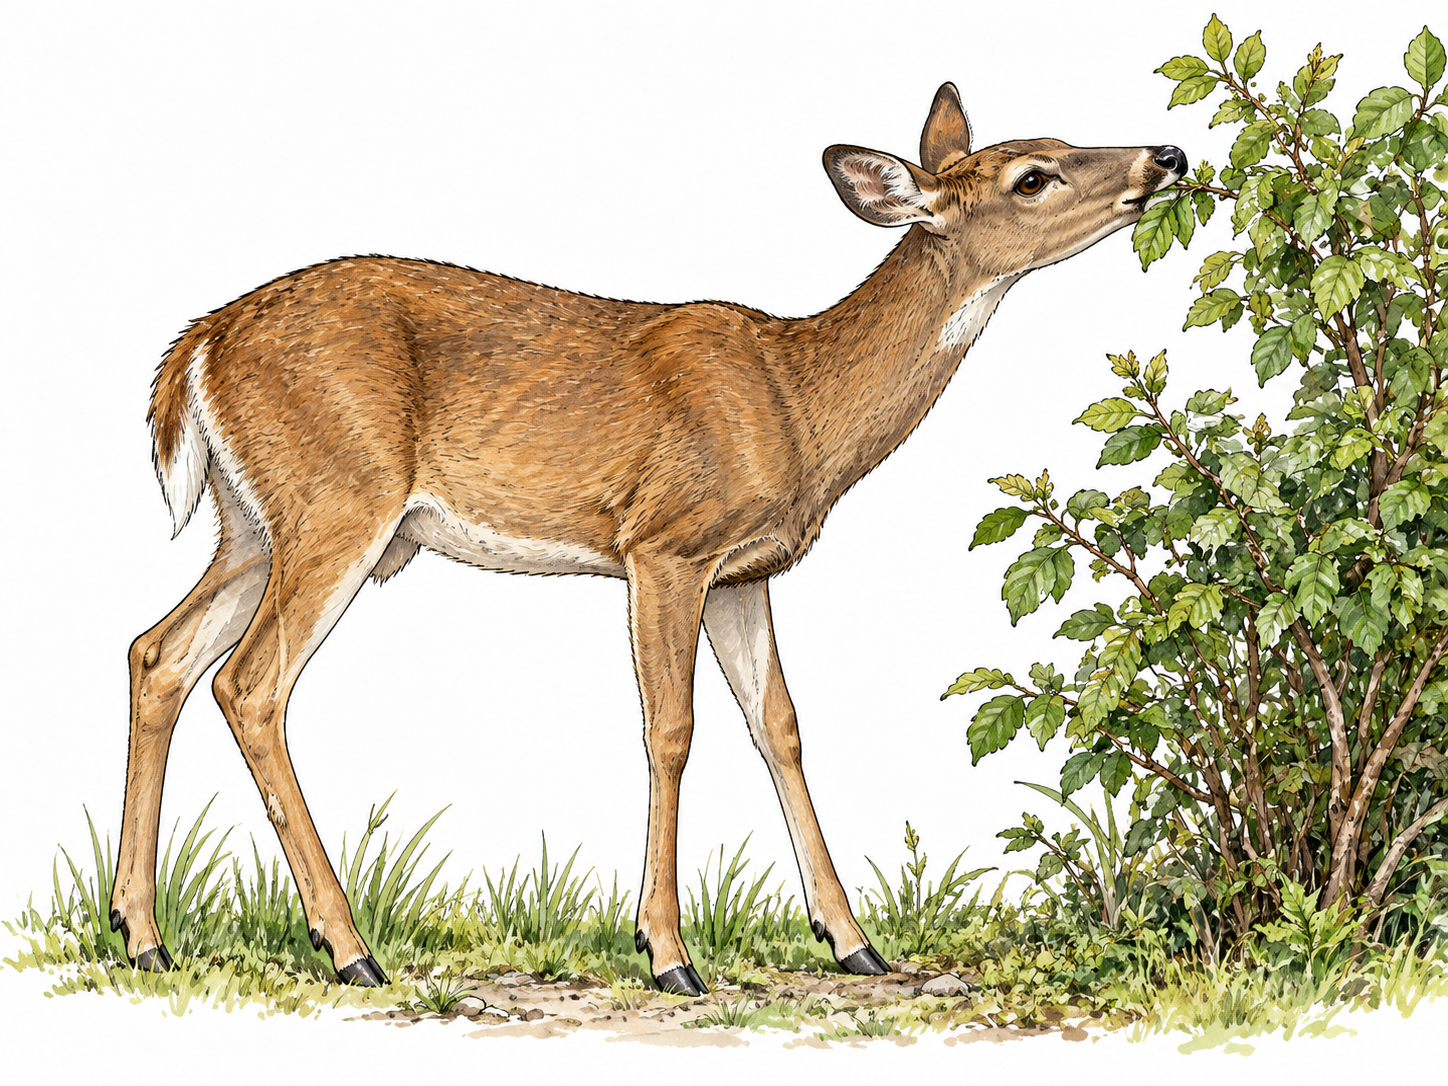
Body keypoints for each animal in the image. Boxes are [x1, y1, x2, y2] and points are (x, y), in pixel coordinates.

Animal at [109, 82, 1185, 994]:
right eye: (1032, 175)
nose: (1167, 155)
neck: (798, 402)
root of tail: (198, 345)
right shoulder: (665, 544)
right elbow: (671, 730)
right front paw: (667, 952)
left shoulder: (745, 572)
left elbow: (780, 727)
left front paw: (852, 940)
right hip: (339, 501)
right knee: (249, 684)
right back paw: (347, 949)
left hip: (253, 524)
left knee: (159, 652)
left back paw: (142, 934)